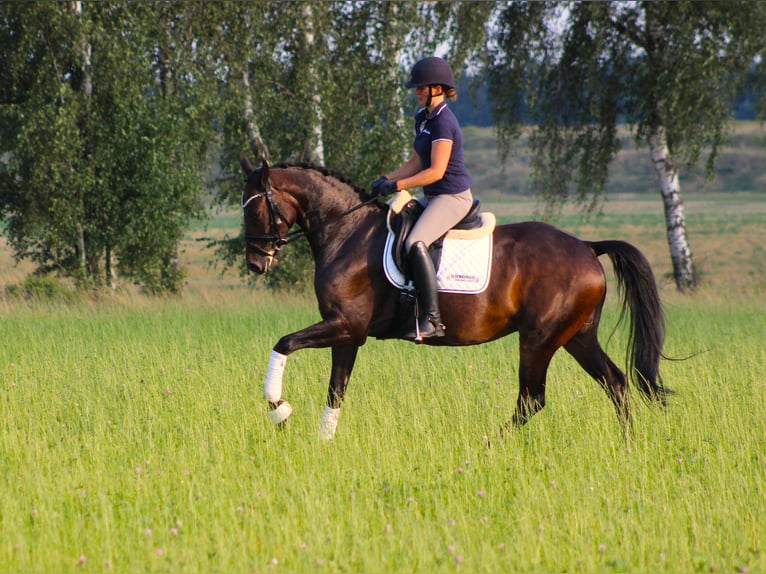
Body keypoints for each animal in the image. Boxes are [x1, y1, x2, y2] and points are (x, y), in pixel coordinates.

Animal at [240, 158, 664, 440]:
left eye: (255, 208)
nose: (256, 263)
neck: (347, 232)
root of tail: (588, 247)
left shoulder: (345, 326)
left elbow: (283, 344)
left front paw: (279, 410)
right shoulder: (348, 334)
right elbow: (336, 390)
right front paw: (323, 443)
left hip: (540, 339)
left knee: (532, 398)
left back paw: (489, 445)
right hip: (577, 335)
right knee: (615, 382)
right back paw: (629, 444)